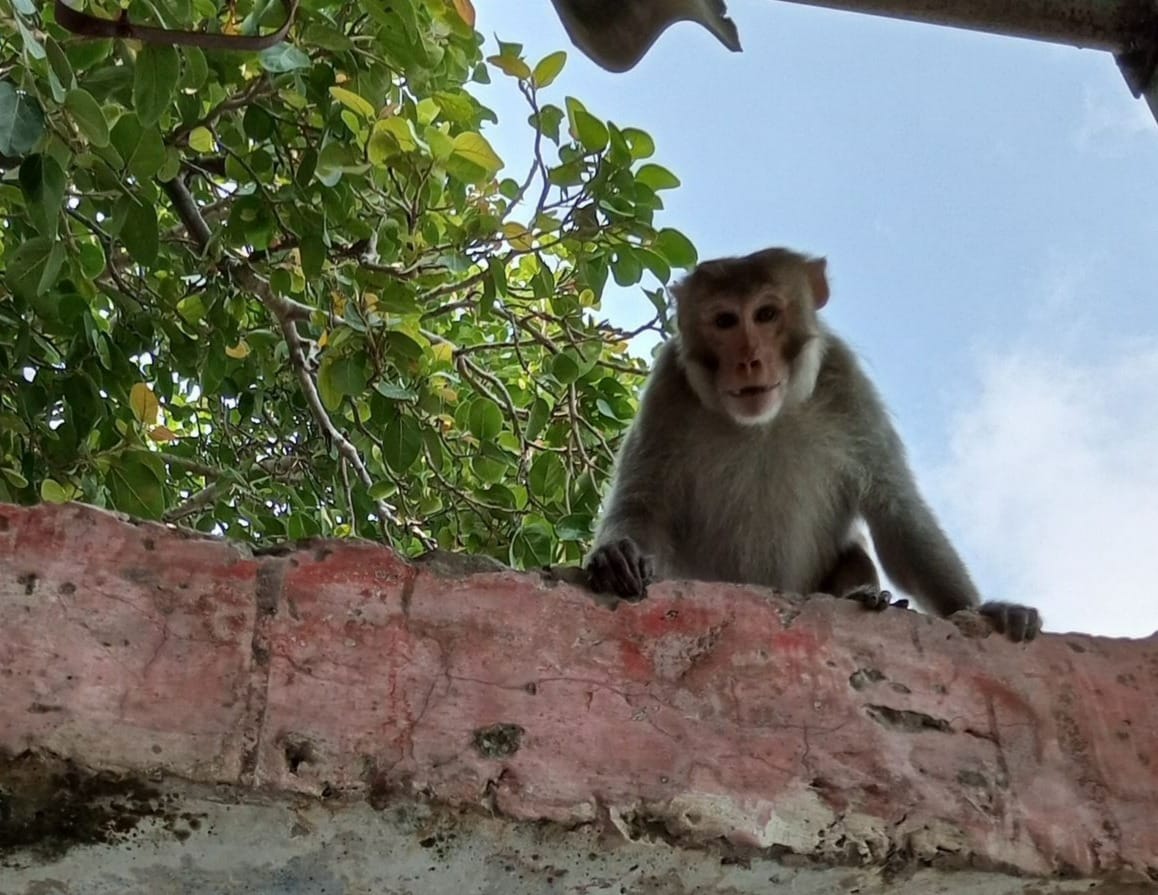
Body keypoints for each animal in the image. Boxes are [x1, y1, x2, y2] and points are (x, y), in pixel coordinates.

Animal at [585, 247, 1040, 643]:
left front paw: (982, 609)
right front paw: (616, 557)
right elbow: (645, 503)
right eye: (725, 320)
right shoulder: (668, 387)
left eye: (766, 314)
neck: (762, 422)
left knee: (855, 552)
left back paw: (868, 595)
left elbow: (896, 512)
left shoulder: (845, 378)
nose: (749, 360)